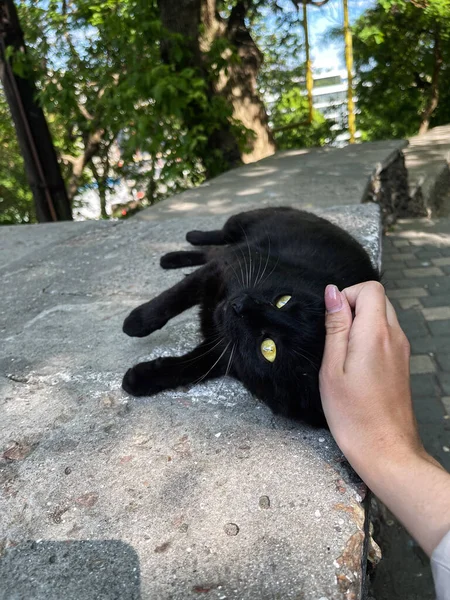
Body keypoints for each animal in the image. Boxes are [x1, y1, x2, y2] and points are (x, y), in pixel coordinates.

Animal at [121, 206, 378, 426]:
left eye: (269, 349)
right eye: (283, 300)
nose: (240, 305)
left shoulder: (226, 353)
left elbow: (191, 366)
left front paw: (140, 378)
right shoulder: (226, 267)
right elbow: (174, 297)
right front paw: (135, 322)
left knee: (213, 250)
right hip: (241, 223)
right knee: (218, 239)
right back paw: (182, 245)